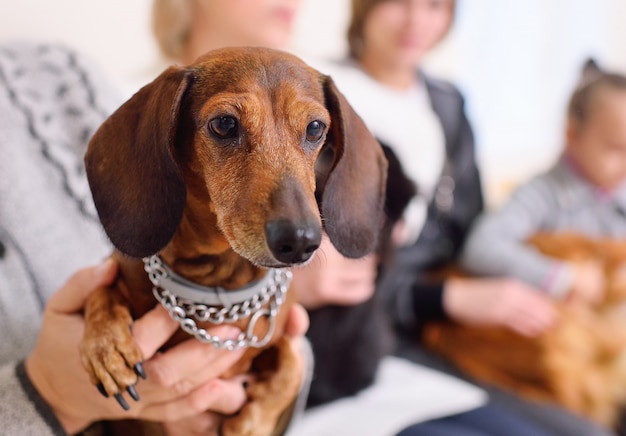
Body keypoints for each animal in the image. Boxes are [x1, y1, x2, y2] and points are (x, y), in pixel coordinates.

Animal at [78, 46, 386, 434]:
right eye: (224, 124)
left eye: (316, 128)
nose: (300, 241)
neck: (218, 285)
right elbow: (100, 292)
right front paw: (107, 347)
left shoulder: (284, 334)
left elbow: (291, 365)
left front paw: (252, 423)